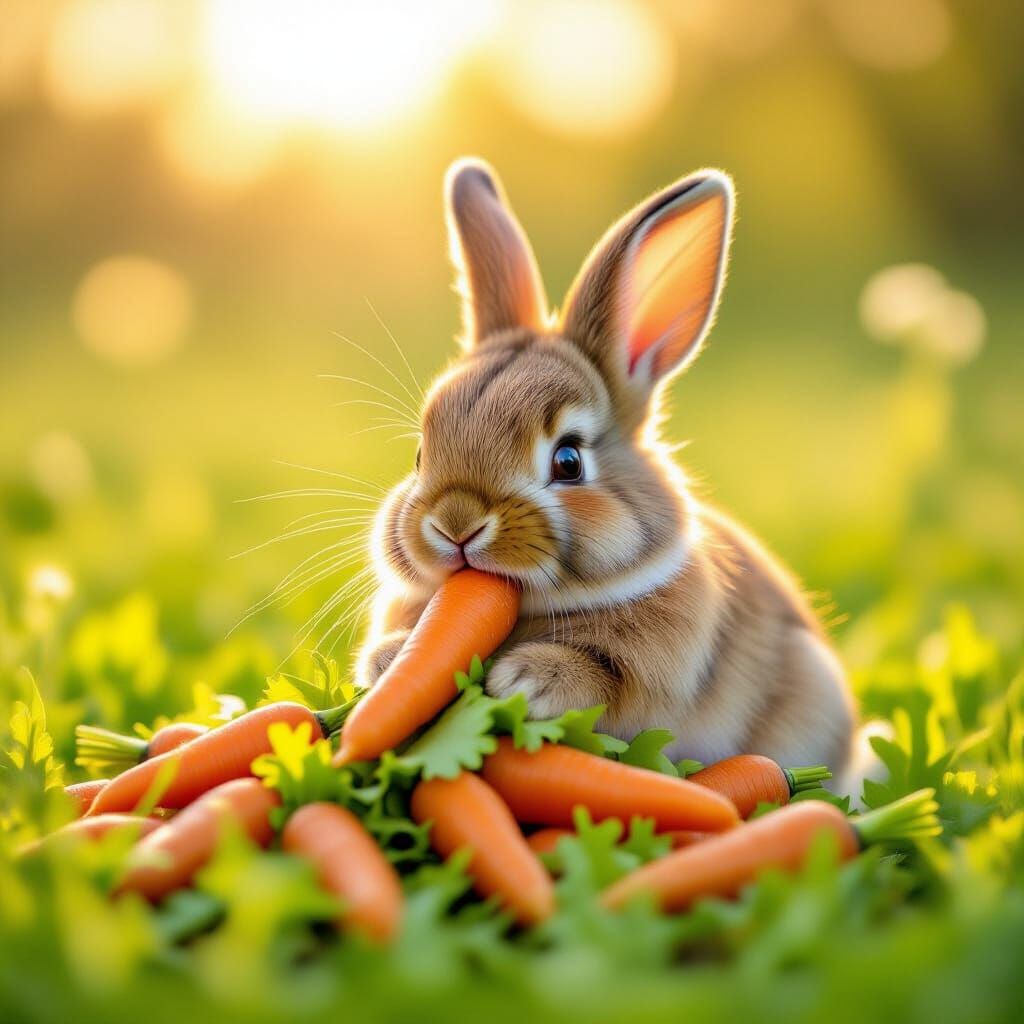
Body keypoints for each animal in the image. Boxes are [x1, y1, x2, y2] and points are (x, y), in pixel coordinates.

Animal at [355, 157, 857, 782]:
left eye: (568, 461)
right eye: (420, 455)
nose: (456, 523)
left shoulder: (650, 675)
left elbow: (605, 680)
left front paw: (522, 681)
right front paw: (388, 662)